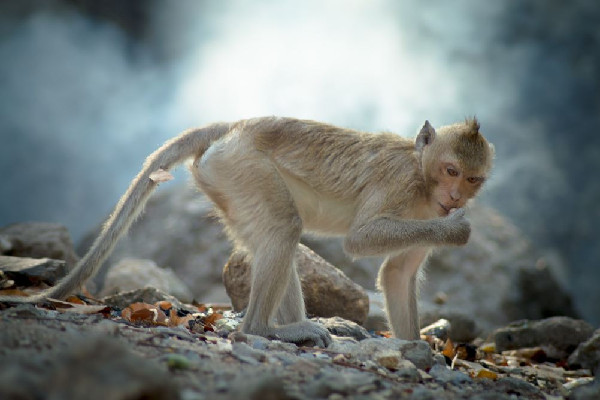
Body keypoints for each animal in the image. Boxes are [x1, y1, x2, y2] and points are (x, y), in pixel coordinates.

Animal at [0, 116, 494, 346]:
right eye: (450, 170)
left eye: (472, 179)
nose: (456, 198)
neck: (422, 176)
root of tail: (235, 125)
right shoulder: (399, 184)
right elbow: (360, 240)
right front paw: (458, 230)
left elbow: (397, 274)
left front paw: (416, 349)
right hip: (242, 166)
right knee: (284, 229)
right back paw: (263, 331)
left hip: (226, 181)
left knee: (275, 236)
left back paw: (292, 326)